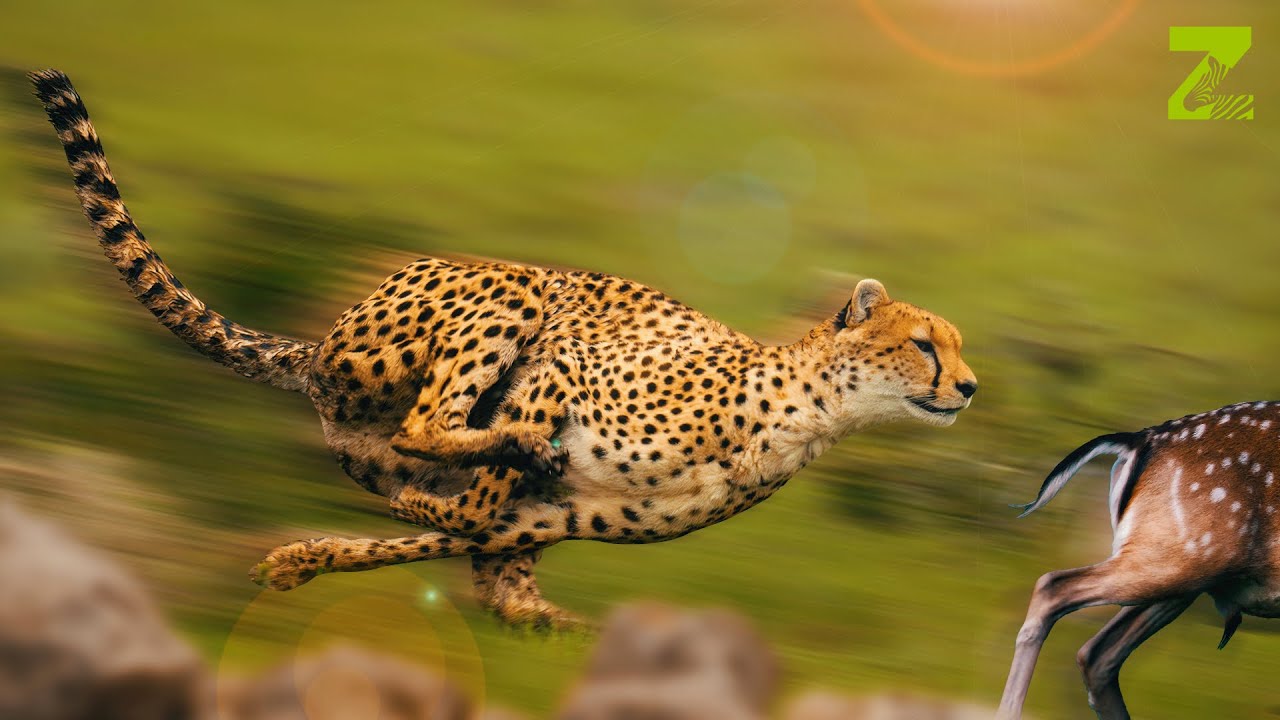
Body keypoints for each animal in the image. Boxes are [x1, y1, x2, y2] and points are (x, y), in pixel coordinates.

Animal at [31, 69, 978, 630]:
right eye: (924, 345)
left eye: (957, 349)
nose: (969, 388)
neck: (807, 414)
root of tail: (317, 349)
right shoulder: (564, 369)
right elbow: (473, 498)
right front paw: (497, 477)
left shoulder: (552, 520)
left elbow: (460, 535)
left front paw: (303, 560)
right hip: (512, 291)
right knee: (424, 422)